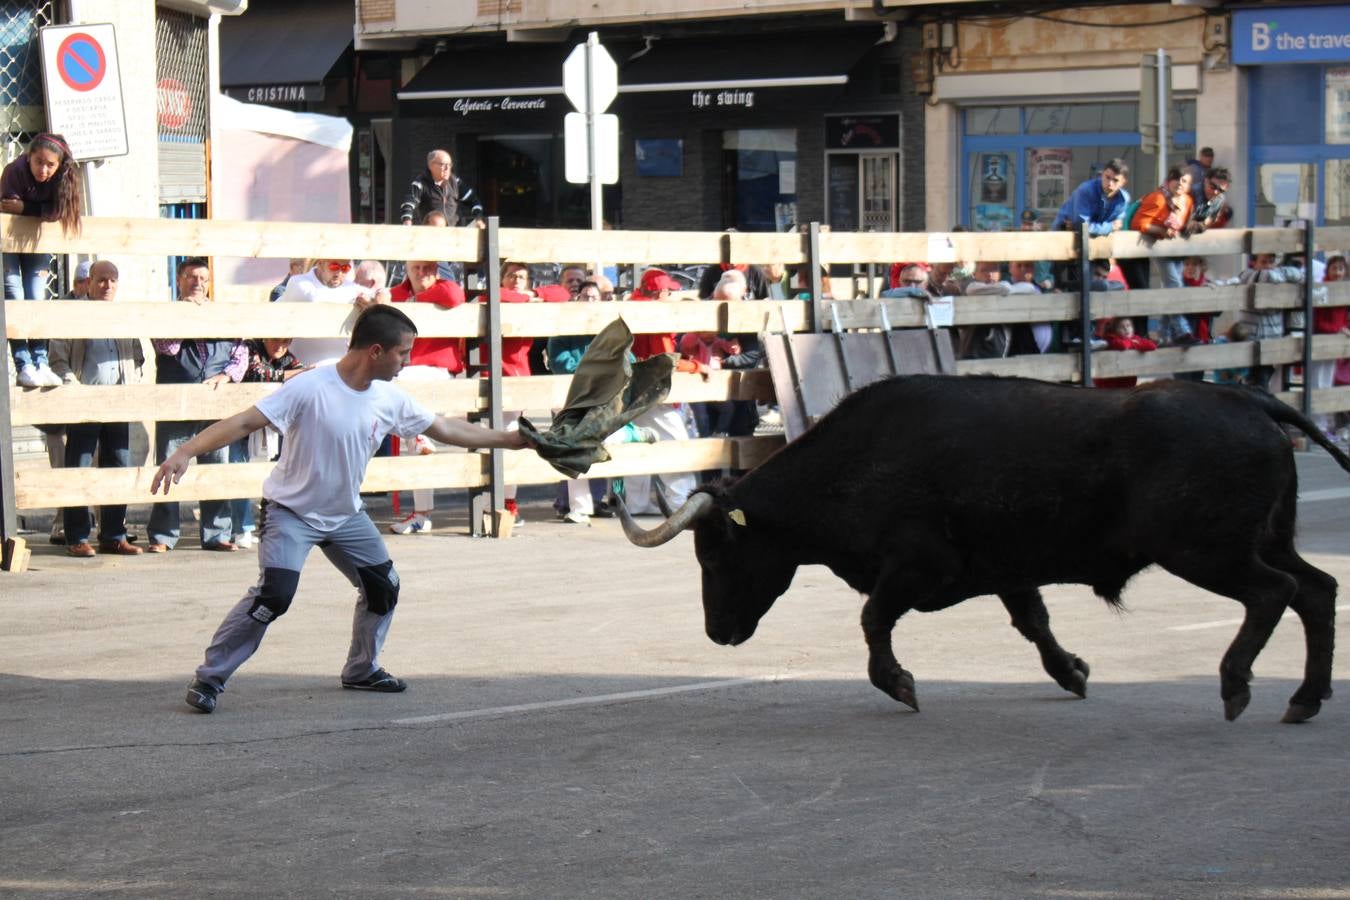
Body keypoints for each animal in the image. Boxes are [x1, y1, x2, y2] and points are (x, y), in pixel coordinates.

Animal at [618, 375, 1350, 723]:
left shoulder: (918, 566)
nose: (718, 633)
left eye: (716, 555)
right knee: (1317, 590)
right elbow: (1035, 623)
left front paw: (899, 682)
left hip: (1208, 551)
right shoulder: (1007, 570)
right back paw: (1305, 698)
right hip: (1262, 541)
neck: (859, 458)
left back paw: (1237, 684)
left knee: (1275, 593)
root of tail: (1249, 399)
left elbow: (873, 620)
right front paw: (1072, 671)